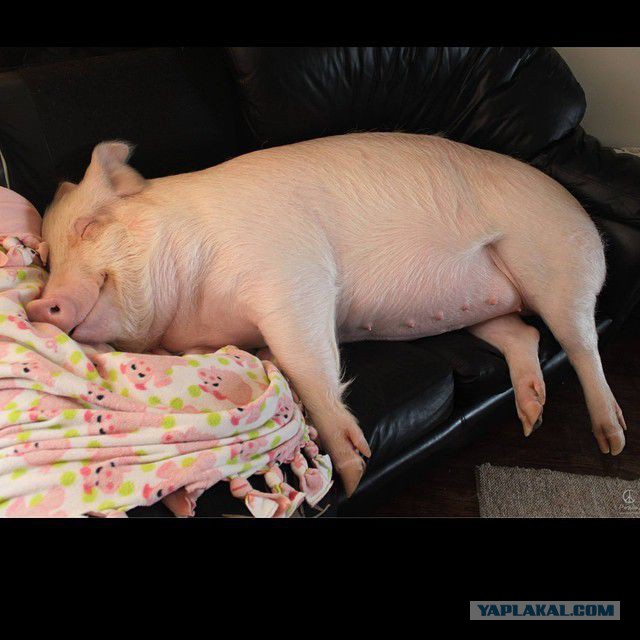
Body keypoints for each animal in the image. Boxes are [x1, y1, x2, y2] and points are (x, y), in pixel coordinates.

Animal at [26, 133, 628, 497]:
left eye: (89, 227)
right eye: (48, 257)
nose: (39, 304)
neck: (192, 306)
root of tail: (586, 221)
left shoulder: (294, 274)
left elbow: (306, 362)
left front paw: (356, 472)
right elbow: (267, 362)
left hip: (554, 264)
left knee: (582, 344)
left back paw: (611, 440)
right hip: (479, 307)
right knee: (523, 334)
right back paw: (530, 417)